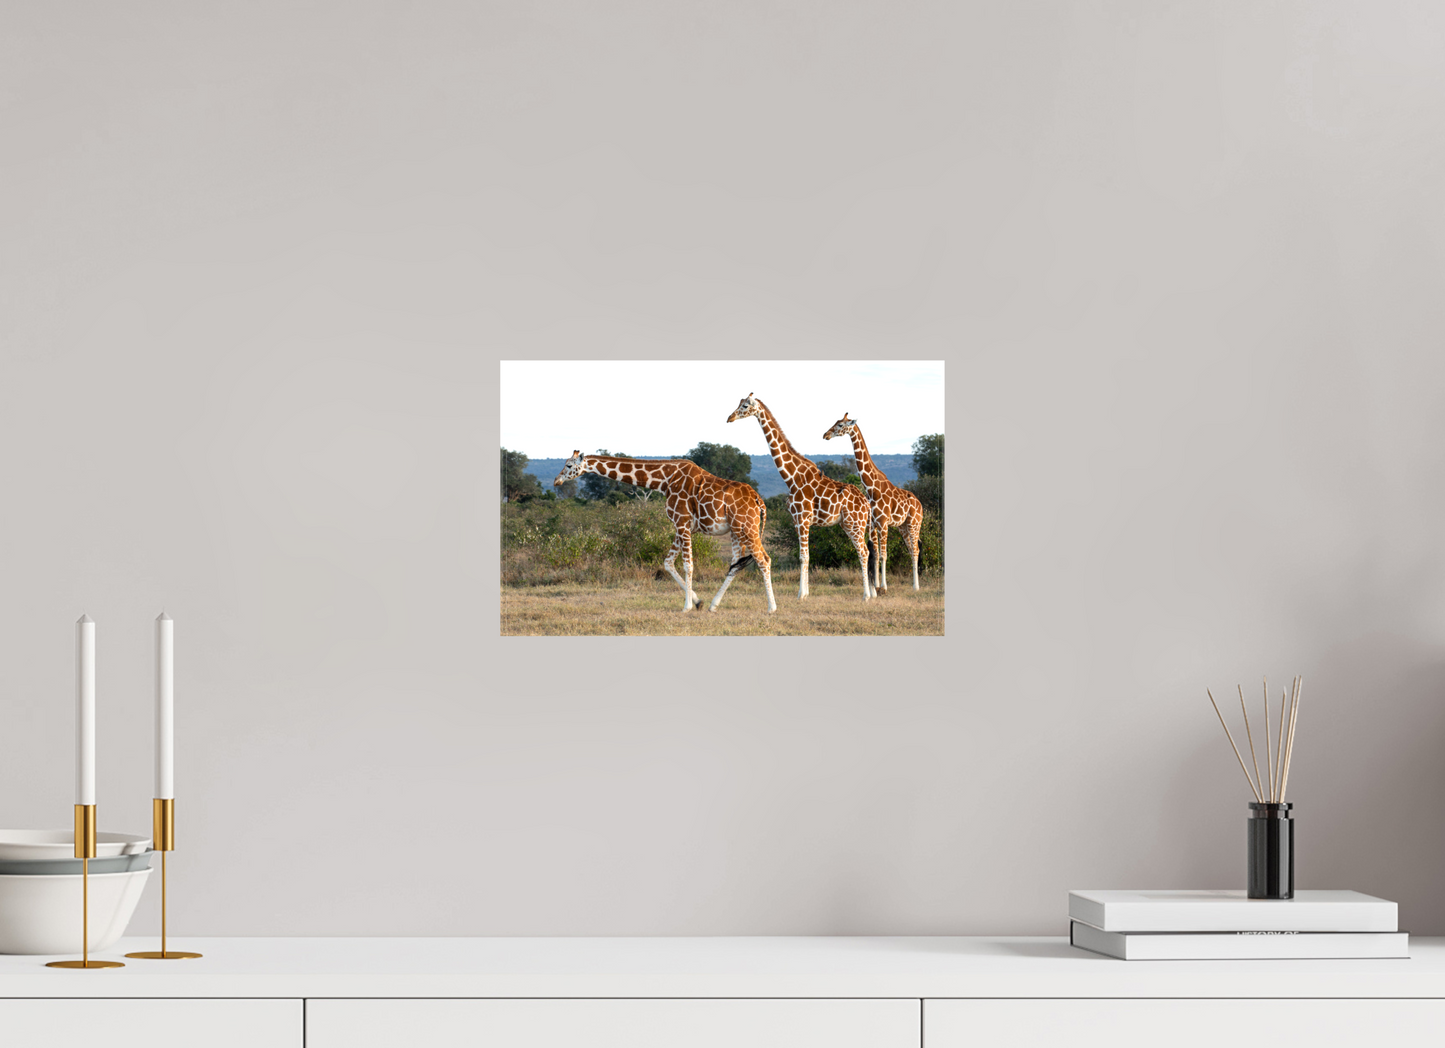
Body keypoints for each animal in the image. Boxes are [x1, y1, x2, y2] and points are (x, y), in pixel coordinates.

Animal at [553, 451, 776, 613]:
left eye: (569, 465)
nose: (556, 481)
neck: (664, 480)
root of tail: (759, 501)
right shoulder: (681, 526)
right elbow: (668, 563)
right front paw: (698, 602)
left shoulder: (682, 522)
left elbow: (688, 565)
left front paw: (686, 607)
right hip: (735, 530)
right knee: (736, 564)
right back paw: (714, 605)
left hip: (746, 527)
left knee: (763, 559)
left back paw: (771, 607)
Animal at [726, 394, 875, 602]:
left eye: (745, 406)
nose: (729, 417)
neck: (791, 477)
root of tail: (866, 504)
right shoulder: (798, 520)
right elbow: (806, 555)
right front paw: (805, 593)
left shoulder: (802, 518)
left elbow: (803, 556)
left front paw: (801, 595)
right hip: (851, 525)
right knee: (866, 551)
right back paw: (870, 593)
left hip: (855, 524)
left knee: (863, 552)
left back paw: (866, 596)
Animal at [823, 413, 924, 591]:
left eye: (841, 425)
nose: (825, 435)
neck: (871, 487)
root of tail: (920, 505)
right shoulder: (872, 524)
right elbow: (875, 554)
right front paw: (876, 586)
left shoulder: (883, 522)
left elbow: (883, 555)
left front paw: (883, 586)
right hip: (903, 526)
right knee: (912, 549)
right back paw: (913, 584)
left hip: (914, 523)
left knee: (916, 550)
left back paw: (916, 586)